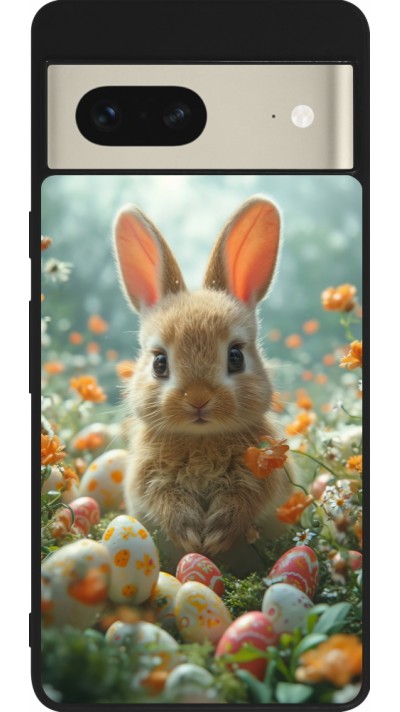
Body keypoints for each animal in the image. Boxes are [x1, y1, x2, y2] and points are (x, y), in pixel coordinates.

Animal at [113, 196, 293, 571]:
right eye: (159, 363)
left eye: (236, 357)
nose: (198, 399)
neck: (201, 439)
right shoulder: (147, 478)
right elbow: (164, 500)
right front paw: (191, 534)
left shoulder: (263, 475)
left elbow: (245, 500)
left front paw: (216, 535)